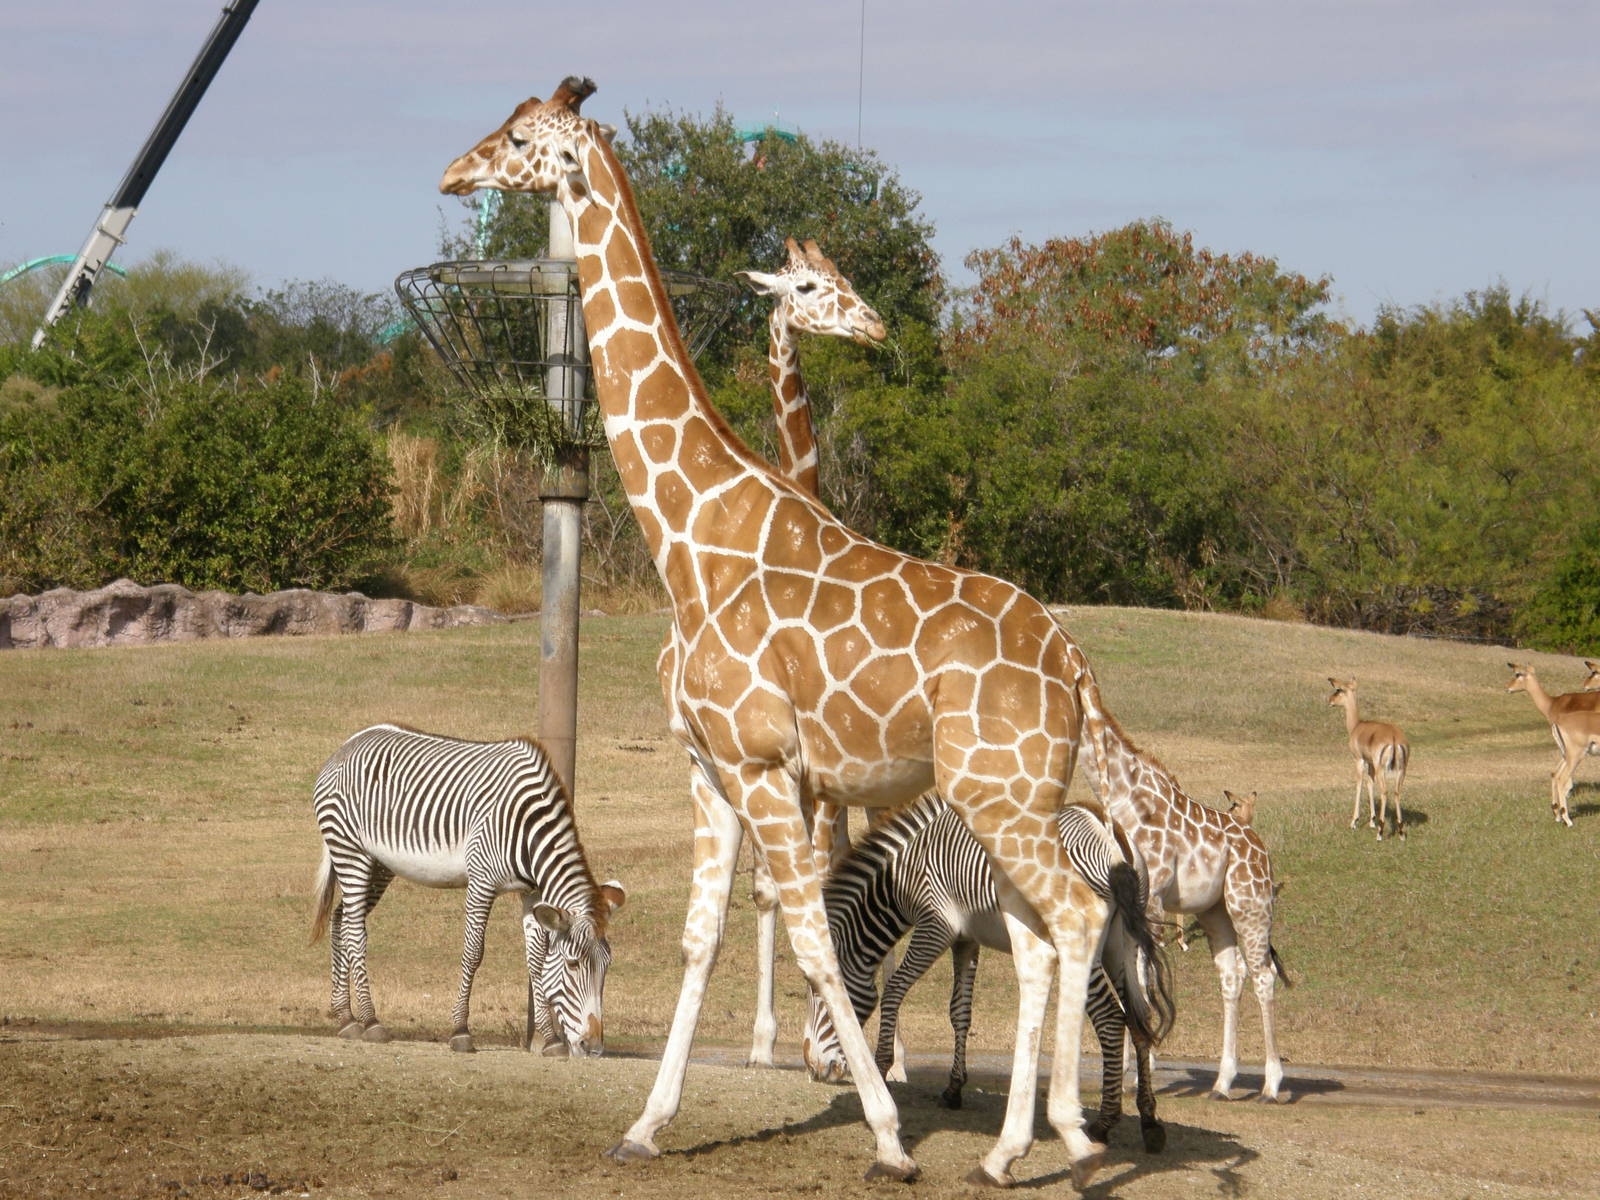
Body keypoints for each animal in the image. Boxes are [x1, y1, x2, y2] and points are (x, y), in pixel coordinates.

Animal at [441, 78, 1118, 1188]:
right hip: (1010, 798)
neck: (689, 533)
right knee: (1036, 937)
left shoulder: (768, 767)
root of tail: (1073, 663)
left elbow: (811, 936)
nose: (457, 170)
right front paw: (646, 1125)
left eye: (524, 137)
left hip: (1001, 798)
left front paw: (885, 1133)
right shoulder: (709, 768)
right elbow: (701, 938)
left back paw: (1066, 1131)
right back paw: (1007, 1148)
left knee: (1077, 916)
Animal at [1073, 677, 1290, 1102]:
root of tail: (1263, 853)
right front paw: (1129, 1071)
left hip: (1249, 904)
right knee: (1232, 976)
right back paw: (1222, 1083)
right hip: (1215, 912)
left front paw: (1143, 1068)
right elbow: (1129, 977)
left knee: (1263, 974)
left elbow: (1144, 978)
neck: (1124, 798)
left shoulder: (1153, 900)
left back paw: (1271, 1085)